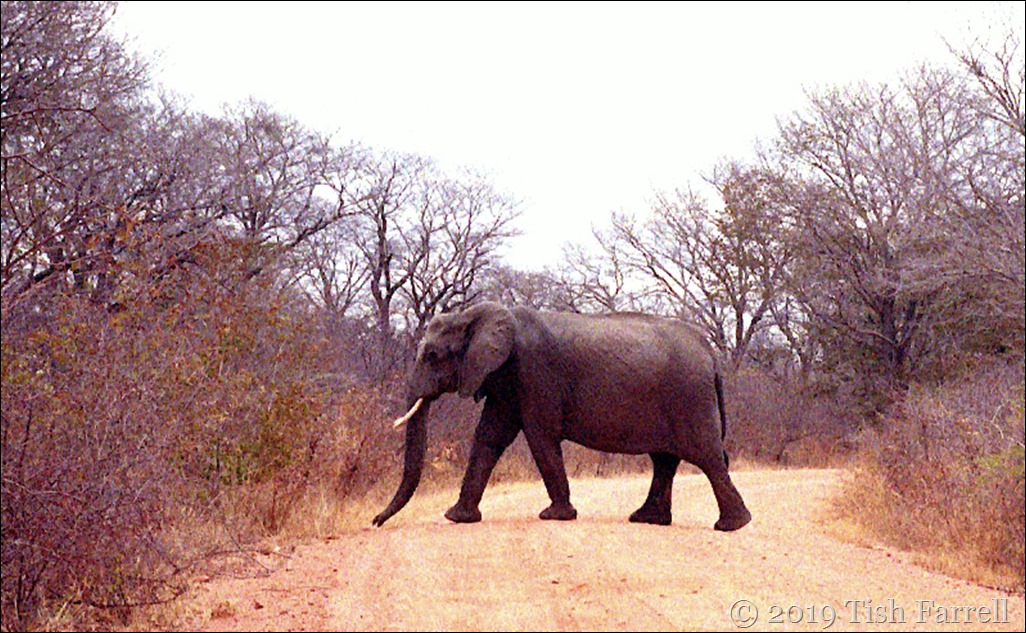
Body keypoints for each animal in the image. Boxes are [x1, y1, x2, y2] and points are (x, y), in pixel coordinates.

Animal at [372, 302, 752, 532]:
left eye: (433, 356)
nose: (375, 522)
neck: (480, 315)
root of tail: (712, 355)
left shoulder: (534, 372)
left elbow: (540, 436)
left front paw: (555, 517)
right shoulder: (507, 381)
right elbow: (489, 436)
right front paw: (458, 518)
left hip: (690, 395)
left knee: (707, 456)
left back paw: (732, 525)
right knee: (665, 460)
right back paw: (647, 520)